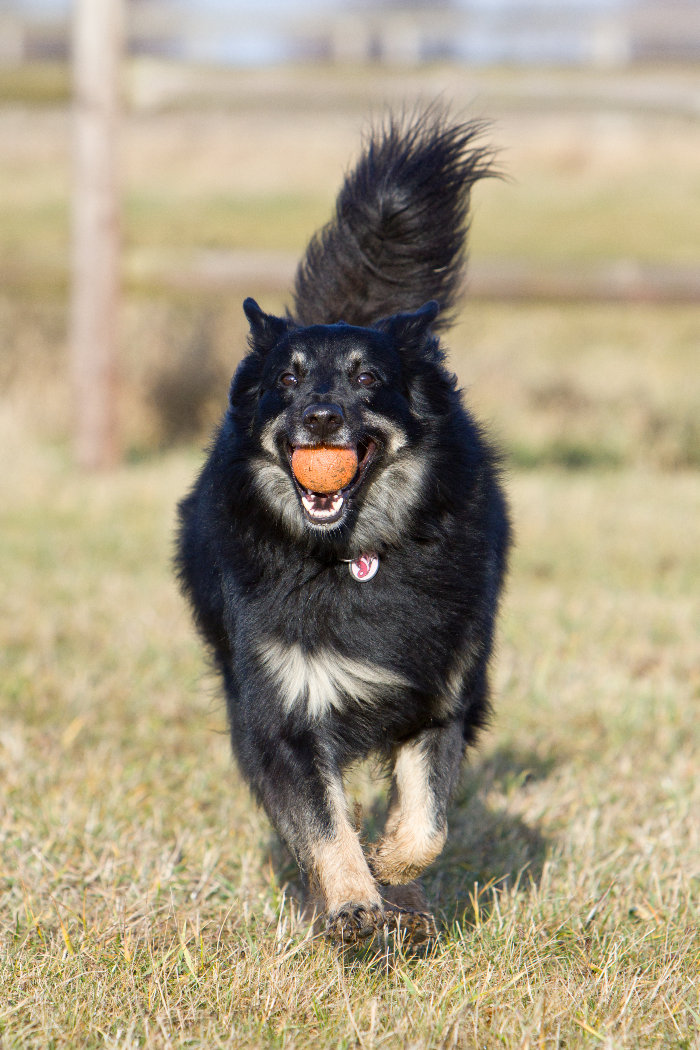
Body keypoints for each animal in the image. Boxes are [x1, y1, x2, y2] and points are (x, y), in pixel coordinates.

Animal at [178, 108, 512, 944]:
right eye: (288, 379)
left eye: (367, 378)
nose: (321, 419)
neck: (354, 554)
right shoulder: (279, 710)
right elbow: (322, 821)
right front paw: (354, 899)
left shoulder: (441, 689)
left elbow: (426, 818)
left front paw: (393, 870)